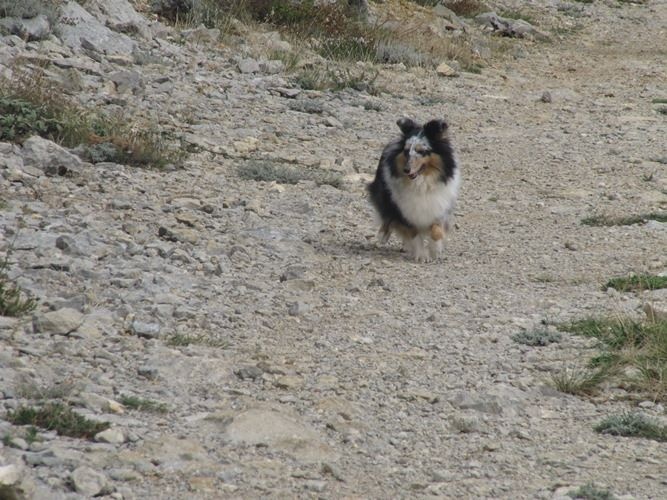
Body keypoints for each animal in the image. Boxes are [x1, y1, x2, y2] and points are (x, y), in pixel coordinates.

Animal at [368, 117, 462, 262]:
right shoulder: (405, 211)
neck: (421, 183)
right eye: (406, 151)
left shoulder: (440, 207)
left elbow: (436, 230)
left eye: (421, 151)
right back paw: (382, 237)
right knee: (387, 217)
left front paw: (435, 250)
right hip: (383, 196)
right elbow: (414, 233)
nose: (406, 170)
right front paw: (422, 256)